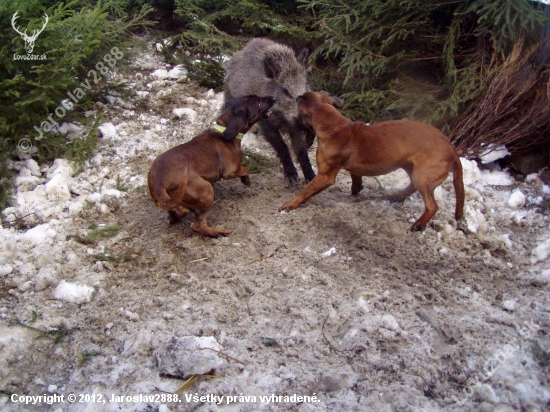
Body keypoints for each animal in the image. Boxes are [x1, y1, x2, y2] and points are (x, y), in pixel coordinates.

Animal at [149, 95, 276, 237]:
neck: (224, 129)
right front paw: (246, 181)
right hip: (206, 191)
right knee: (197, 225)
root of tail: (159, 184)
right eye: (259, 102)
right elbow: (245, 169)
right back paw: (219, 232)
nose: (274, 97)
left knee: (174, 216)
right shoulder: (231, 171)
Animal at [280, 91, 466, 230]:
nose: (298, 95)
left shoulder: (325, 176)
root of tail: (451, 149)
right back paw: (397, 197)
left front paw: (289, 204)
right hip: (411, 168)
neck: (336, 126)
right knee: (413, 187)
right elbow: (355, 177)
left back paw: (419, 224)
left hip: (422, 176)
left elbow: (305, 191)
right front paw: (356, 189)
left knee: (432, 205)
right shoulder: (352, 167)